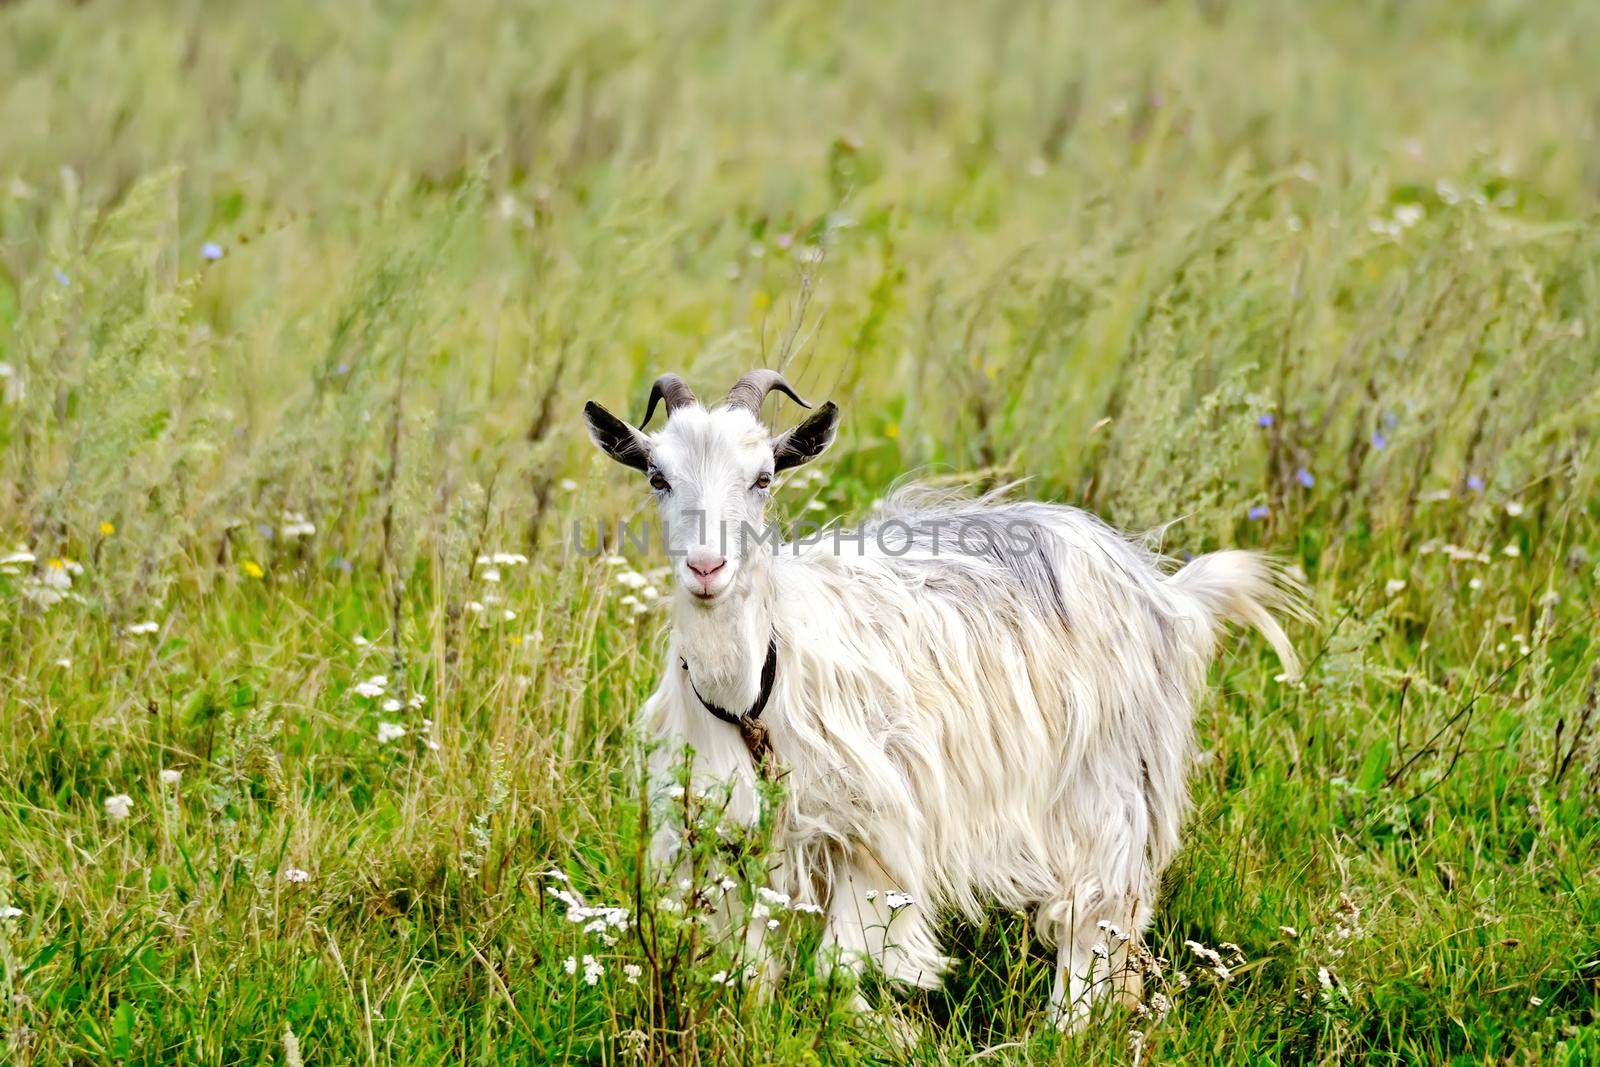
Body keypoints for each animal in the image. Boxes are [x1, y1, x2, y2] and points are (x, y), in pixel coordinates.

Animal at [588, 371, 1299, 1030]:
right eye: (657, 476)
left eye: (763, 477)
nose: (707, 569)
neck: (754, 690)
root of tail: (1162, 589)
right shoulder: (730, 840)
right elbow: (747, 968)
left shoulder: (874, 829)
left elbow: (836, 967)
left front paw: (883, 1034)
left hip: (1109, 777)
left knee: (1097, 911)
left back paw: (1065, 1028)